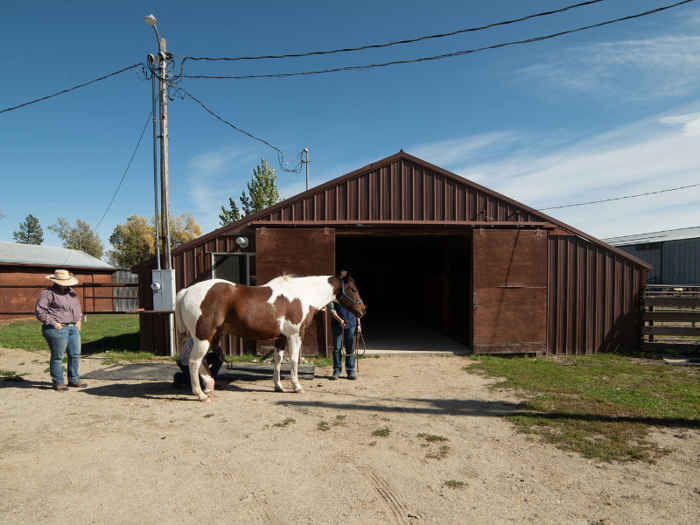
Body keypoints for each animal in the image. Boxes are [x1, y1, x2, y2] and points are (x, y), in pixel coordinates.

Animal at [174, 274, 366, 402]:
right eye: (354, 289)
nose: (363, 310)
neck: (303, 294)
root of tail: (187, 291)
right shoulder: (295, 335)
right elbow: (294, 360)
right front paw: (296, 386)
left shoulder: (280, 337)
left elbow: (278, 360)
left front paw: (278, 386)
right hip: (203, 337)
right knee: (194, 361)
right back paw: (200, 394)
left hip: (208, 337)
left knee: (200, 361)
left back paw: (208, 385)